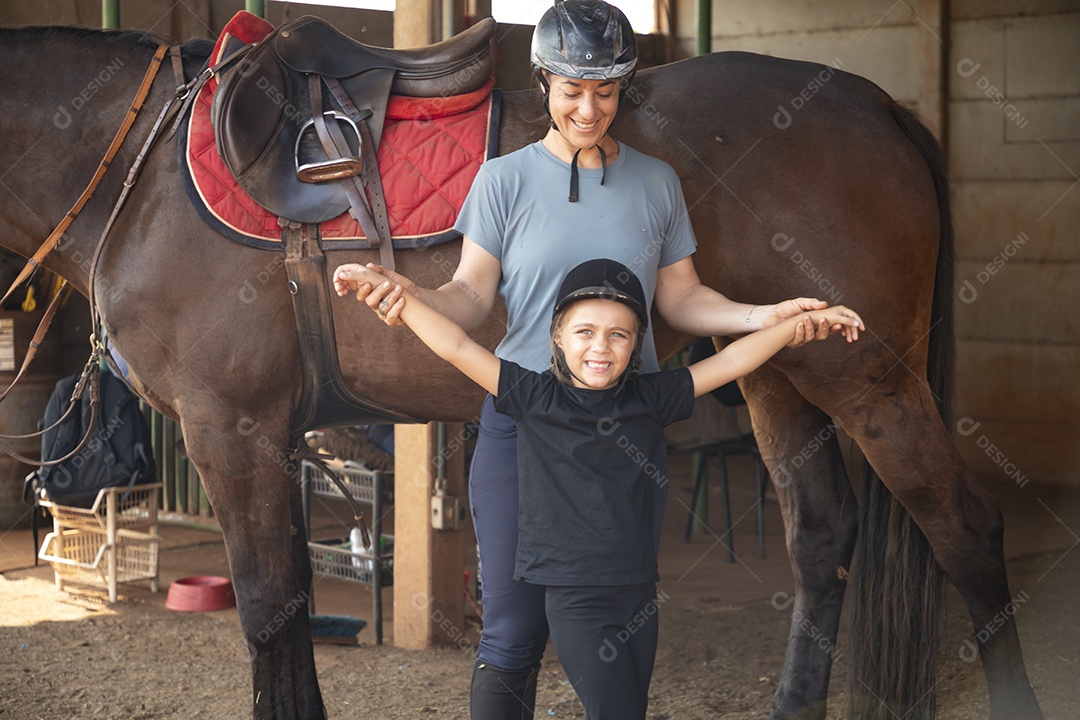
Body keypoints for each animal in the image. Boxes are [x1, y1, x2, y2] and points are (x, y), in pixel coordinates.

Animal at [0, 22, 1041, 720]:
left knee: (966, 532)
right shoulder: (266, 440)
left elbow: (263, 612)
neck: (138, 172)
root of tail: (876, 104)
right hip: (781, 374)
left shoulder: (233, 429)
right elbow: (287, 610)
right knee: (822, 541)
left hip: (870, 381)